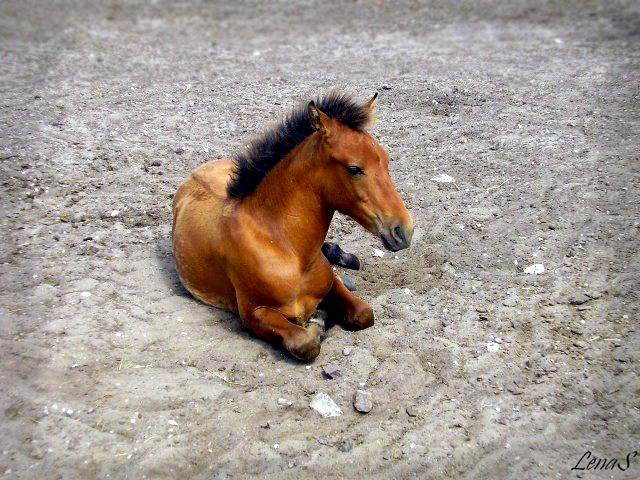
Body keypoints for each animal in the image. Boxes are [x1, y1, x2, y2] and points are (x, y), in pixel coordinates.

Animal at [170, 91, 412, 360]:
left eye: (386, 160)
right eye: (354, 168)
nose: (403, 230)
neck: (289, 249)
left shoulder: (331, 283)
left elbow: (363, 313)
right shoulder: (254, 314)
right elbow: (306, 343)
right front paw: (318, 322)